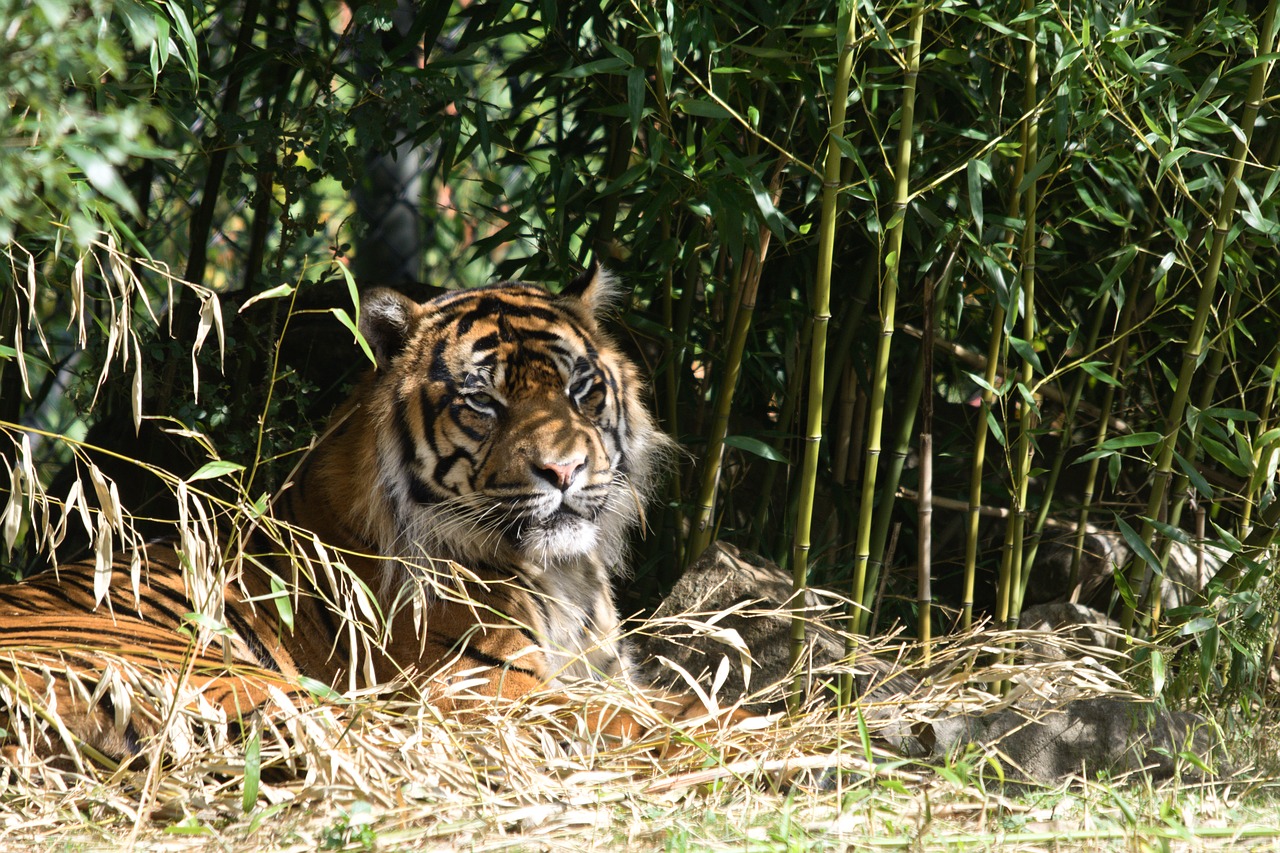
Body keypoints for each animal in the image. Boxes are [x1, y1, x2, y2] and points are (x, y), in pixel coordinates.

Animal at [0, 267, 711, 763]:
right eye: (483, 401)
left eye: (580, 389)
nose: (564, 471)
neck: (564, 573)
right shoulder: (486, 688)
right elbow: (666, 714)